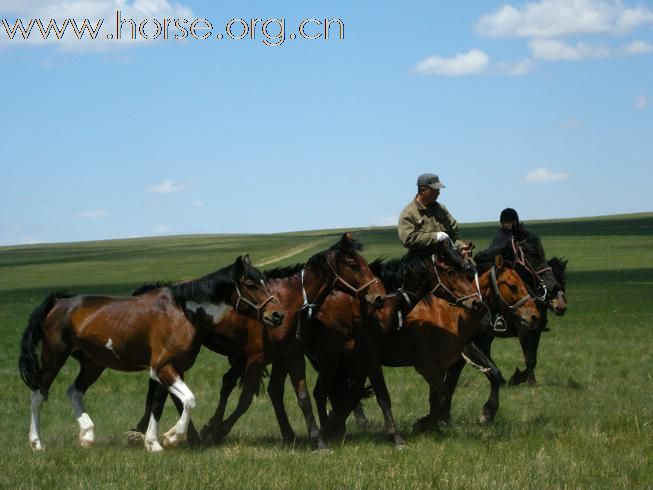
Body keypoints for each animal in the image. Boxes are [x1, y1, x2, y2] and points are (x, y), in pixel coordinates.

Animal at [17, 256, 282, 452]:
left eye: (265, 281)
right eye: (251, 283)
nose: (277, 315)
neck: (183, 312)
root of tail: (58, 302)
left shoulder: (169, 369)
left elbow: (158, 403)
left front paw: (153, 443)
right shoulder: (163, 367)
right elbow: (188, 400)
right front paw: (171, 438)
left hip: (93, 363)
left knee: (73, 391)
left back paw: (87, 436)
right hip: (54, 358)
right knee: (37, 395)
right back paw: (37, 443)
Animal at [132, 234, 388, 452]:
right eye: (353, 264)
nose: (378, 296)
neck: (291, 303)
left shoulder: (292, 357)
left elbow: (302, 398)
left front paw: (317, 440)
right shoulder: (256, 359)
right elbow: (245, 400)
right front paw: (216, 430)